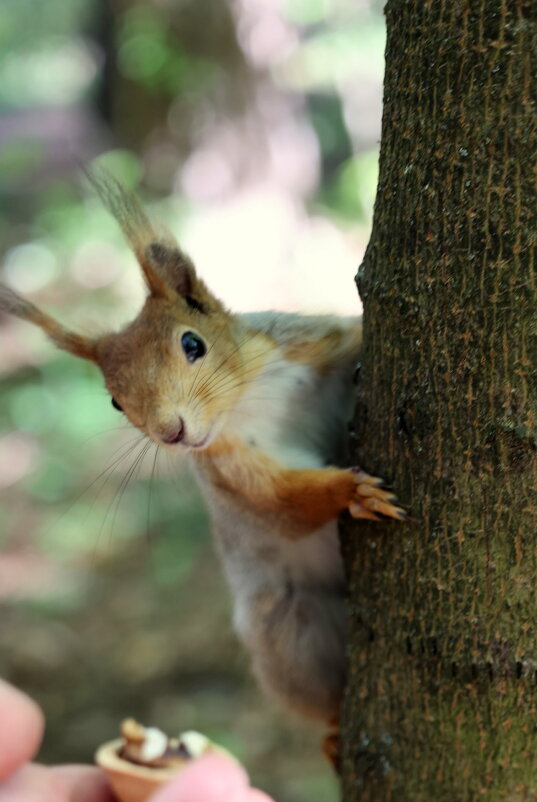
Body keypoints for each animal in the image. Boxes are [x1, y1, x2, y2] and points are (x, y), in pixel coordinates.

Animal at [0, 177, 402, 756]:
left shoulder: (317, 343)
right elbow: (283, 503)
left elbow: (351, 333)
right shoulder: (232, 471)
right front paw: (353, 494)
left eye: (193, 342)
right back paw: (330, 727)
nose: (172, 432)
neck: (248, 403)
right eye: (116, 402)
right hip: (289, 630)